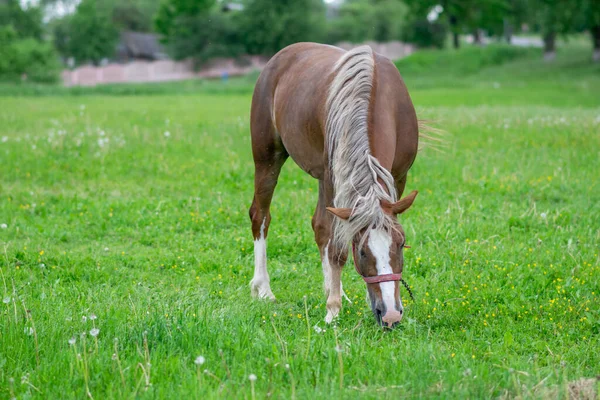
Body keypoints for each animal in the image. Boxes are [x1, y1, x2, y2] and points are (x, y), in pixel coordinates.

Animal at [247, 42, 418, 328]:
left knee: (318, 227)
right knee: (261, 216)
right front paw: (333, 310)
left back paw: (332, 288)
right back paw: (263, 289)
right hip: (267, 159)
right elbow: (336, 245)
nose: (391, 315)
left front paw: (345, 297)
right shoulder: (332, 180)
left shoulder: (398, 177)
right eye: (362, 253)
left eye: (400, 244)